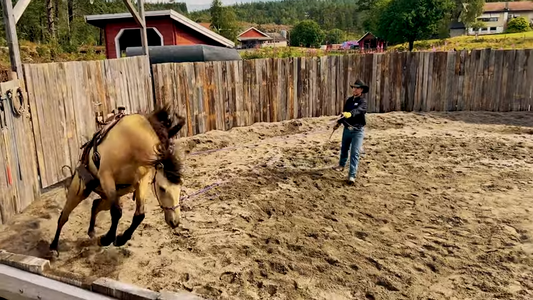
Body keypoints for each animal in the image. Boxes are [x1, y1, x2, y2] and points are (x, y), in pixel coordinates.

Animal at [50, 105, 186, 253]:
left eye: (180, 187)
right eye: (162, 188)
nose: (175, 222)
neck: (130, 144)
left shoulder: (142, 181)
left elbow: (139, 215)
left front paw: (121, 239)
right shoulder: (106, 177)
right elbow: (116, 212)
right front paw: (106, 239)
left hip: (110, 196)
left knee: (96, 205)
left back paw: (91, 232)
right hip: (78, 193)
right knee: (64, 216)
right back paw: (54, 246)